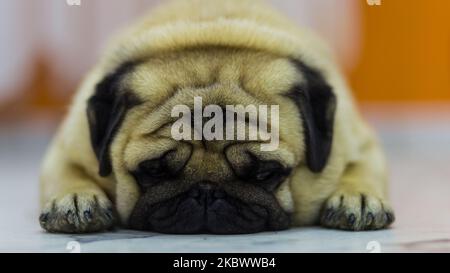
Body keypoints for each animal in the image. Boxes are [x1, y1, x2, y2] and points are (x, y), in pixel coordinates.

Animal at [38, 0, 394, 234]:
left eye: (264, 172)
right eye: (154, 170)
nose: (206, 191)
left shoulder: (357, 142)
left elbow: (364, 168)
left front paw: (358, 197)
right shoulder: (70, 146)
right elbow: (65, 172)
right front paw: (75, 198)